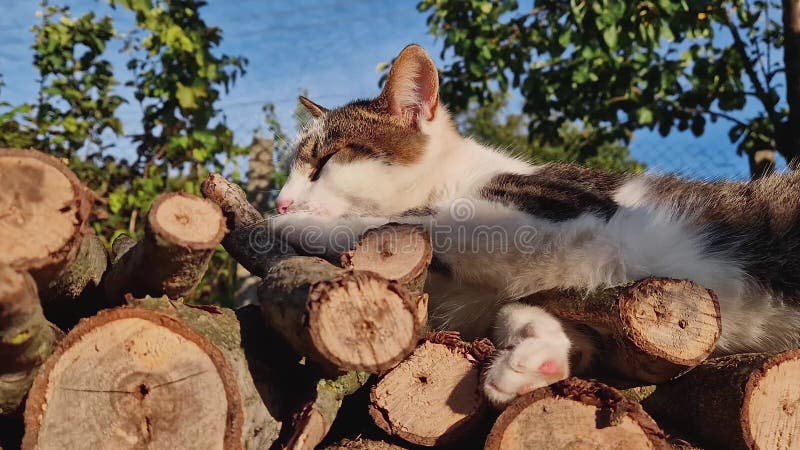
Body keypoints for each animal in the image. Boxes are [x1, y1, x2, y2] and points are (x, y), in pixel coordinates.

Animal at [266, 44, 800, 406]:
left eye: (323, 163)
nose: (283, 201)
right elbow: (523, 308)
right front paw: (538, 356)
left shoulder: (563, 224)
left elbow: (414, 220)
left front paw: (292, 226)